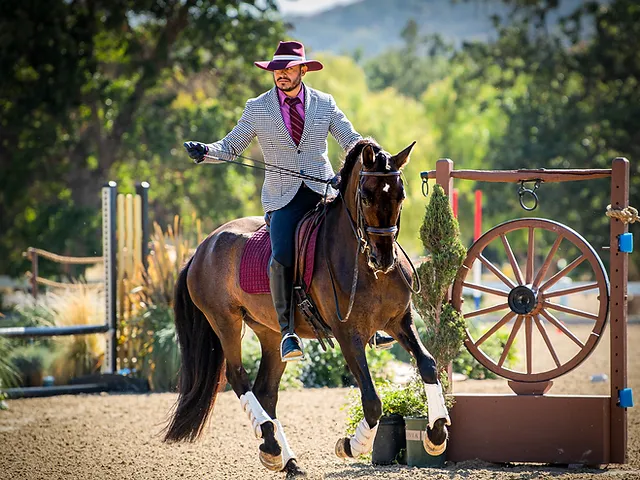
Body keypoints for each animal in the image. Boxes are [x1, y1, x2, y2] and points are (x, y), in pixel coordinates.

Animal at [163, 138, 451, 476]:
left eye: (400, 195)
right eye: (366, 196)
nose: (383, 258)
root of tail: (203, 247)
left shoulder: (399, 322)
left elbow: (428, 364)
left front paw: (436, 433)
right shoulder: (348, 334)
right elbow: (372, 400)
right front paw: (350, 445)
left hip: (271, 333)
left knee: (266, 390)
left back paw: (282, 458)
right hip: (225, 322)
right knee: (238, 377)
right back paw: (272, 446)